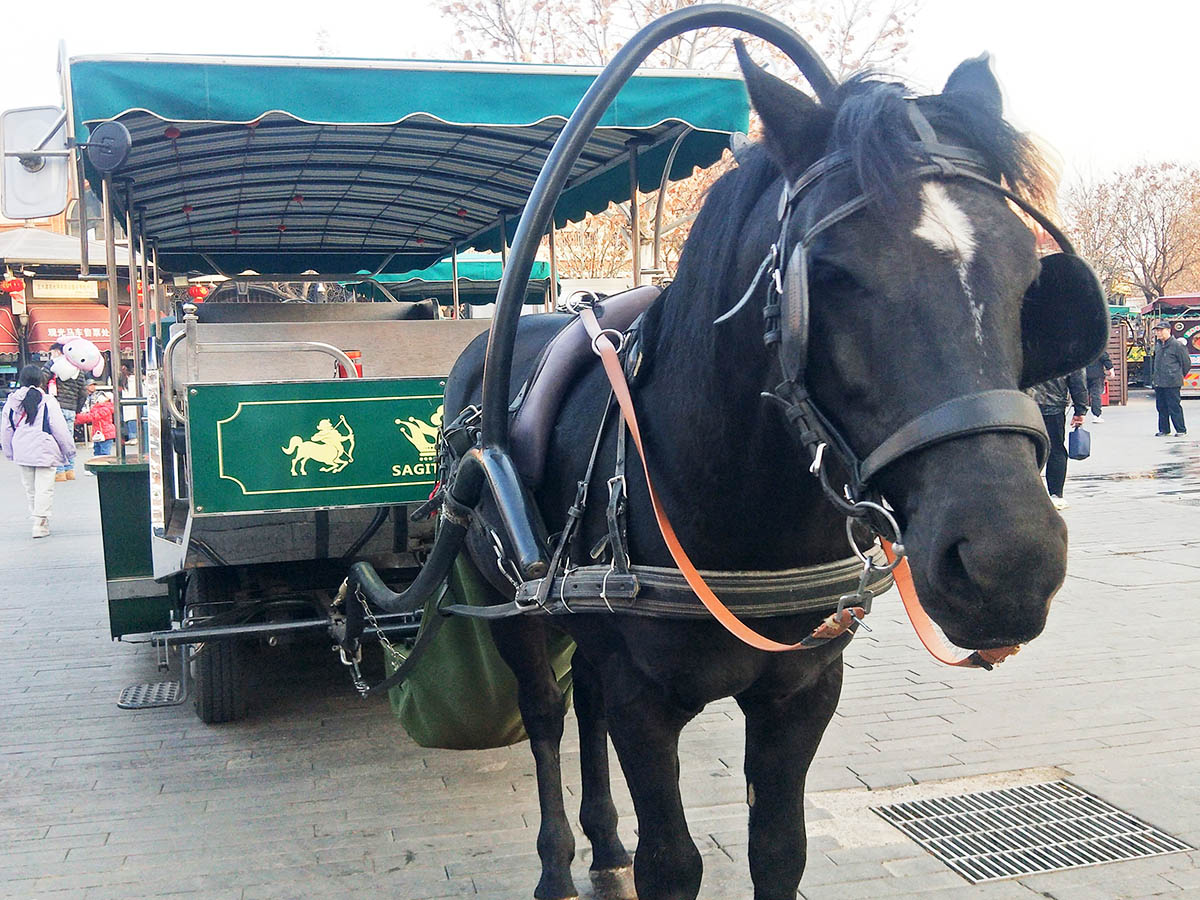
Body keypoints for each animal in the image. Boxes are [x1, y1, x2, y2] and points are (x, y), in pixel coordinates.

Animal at [436, 48, 1102, 900]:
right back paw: (557, 866)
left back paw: (604, 845)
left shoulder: (801, 693)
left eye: (1027, 275)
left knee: (583, 700)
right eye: (834, 275)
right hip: (509, 603)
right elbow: (672, 863)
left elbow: (780, 848)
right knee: (548, 712)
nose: (1009, 562)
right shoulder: (645, 701)